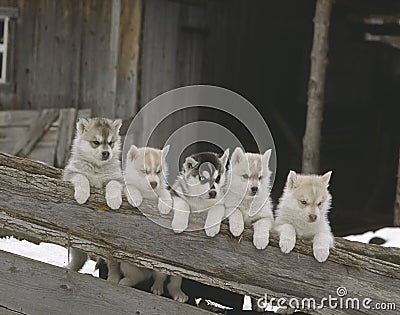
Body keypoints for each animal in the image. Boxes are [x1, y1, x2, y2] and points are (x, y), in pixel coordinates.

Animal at [63, 117, 122, 272]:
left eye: (110, 143)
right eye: (96, 142)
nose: (106, 153)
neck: (97, 168)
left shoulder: (116, 178)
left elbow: (113, 185)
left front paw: (114, 201)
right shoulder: (72, 173)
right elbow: (82, 179)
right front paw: (82, 195)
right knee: (80, 258)